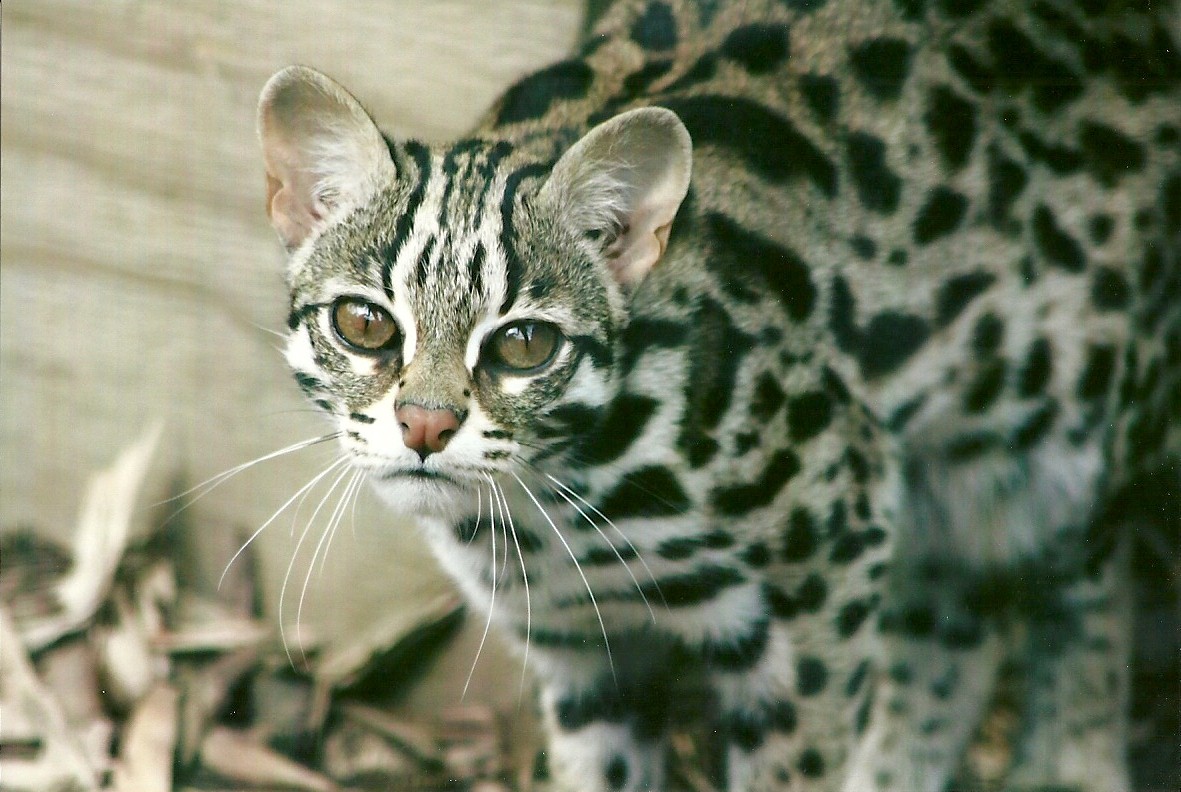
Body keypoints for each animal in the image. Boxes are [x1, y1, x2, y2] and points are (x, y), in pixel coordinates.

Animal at [254, 0, 1180, 789]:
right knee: (956, 629)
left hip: (1063, 431)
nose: (423, 425)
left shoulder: (828, 572)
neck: (549, 506)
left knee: (1088, 595)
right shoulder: (577, 640)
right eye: (364, 324)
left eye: (523, 344)